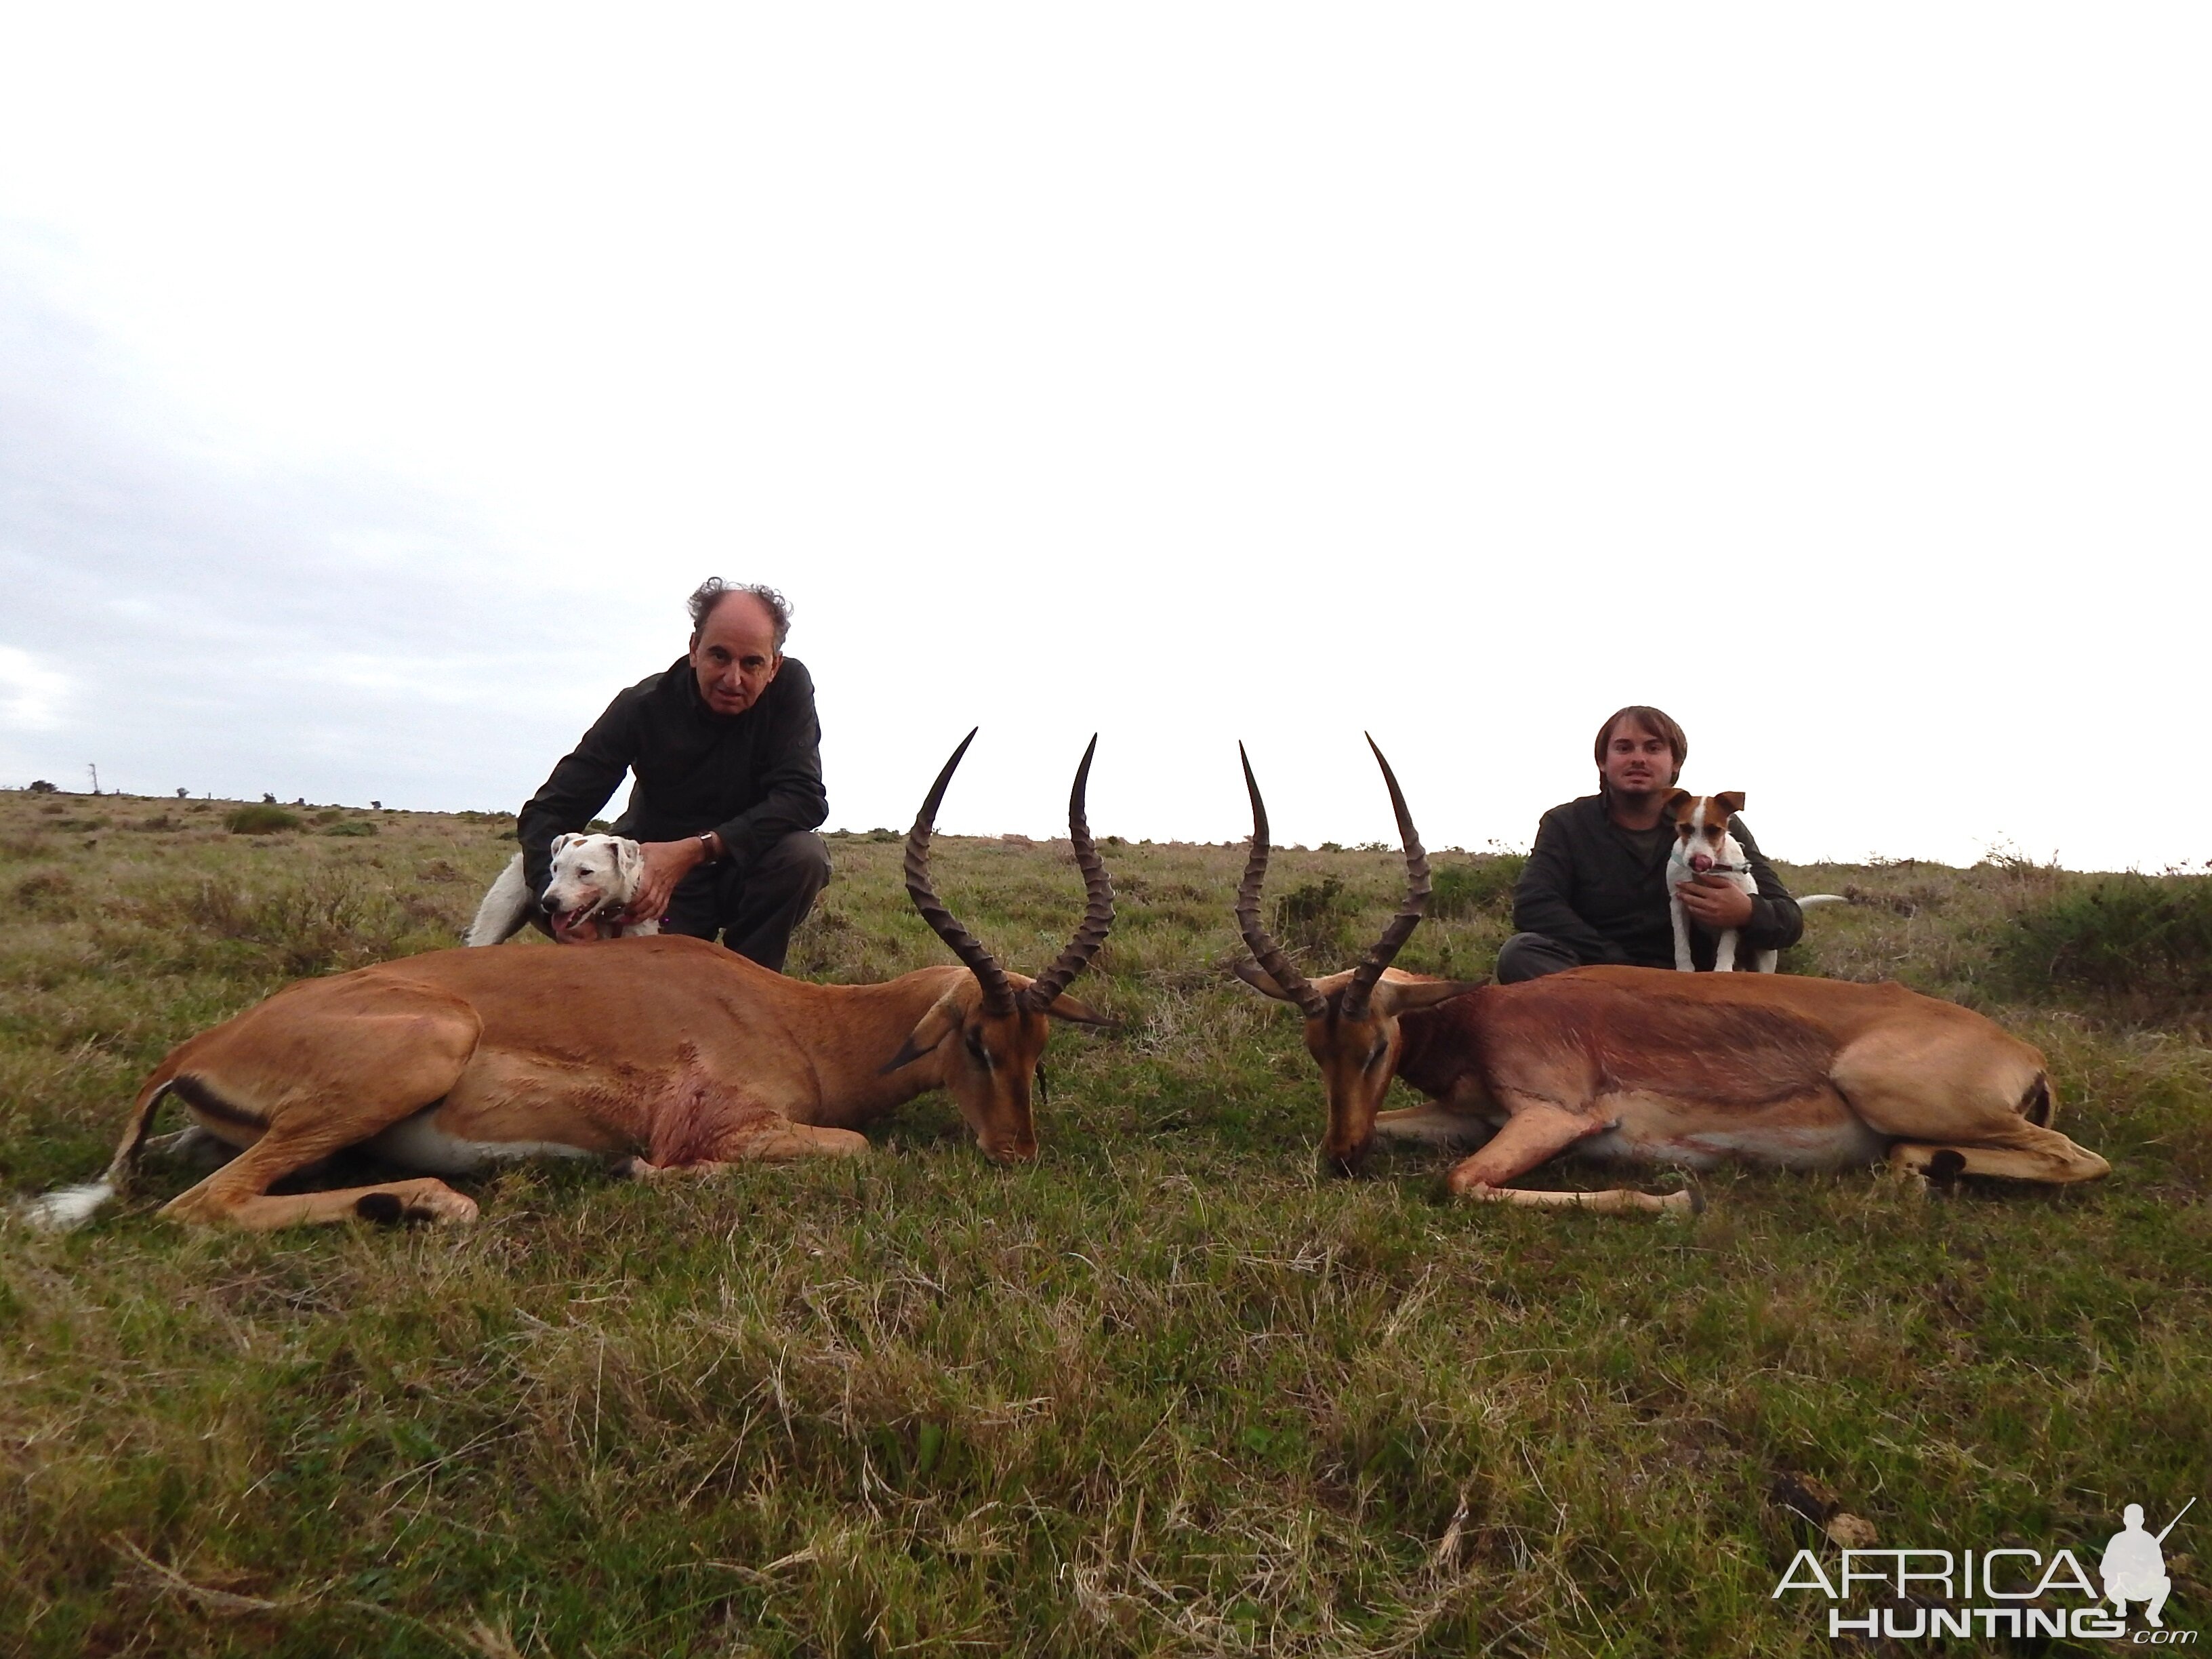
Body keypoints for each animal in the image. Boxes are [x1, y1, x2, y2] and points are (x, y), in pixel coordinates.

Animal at [1663, 792, 1849, 973]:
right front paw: (1685, 968)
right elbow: (1681, 942)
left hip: (1765, 956)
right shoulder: (1678, 902)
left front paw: (1722, 969)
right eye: (1685, 828)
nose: (1697, 862)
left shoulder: (1730, 905)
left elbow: (1726, 944)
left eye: (1715, 830)